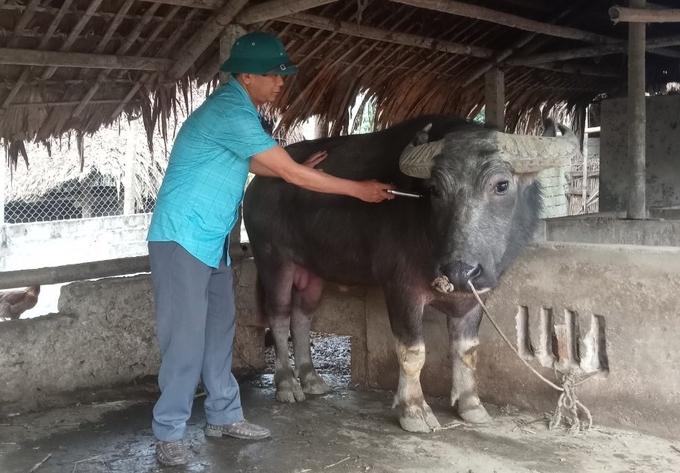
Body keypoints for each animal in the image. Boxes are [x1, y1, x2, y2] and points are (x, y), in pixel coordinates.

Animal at [242, 114, 576, 432]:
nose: (459, 270)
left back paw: (311, 378)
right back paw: (287, 383)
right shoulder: (401, 289)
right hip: (274, 260)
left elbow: (467, 350)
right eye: (435, 190)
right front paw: (414, 410)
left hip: (312, 271)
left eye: (502, 185)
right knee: (279, 315)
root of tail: (256, 185)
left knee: (302, 316)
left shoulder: (477, 294)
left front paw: (470, 404)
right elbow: (413, 352)